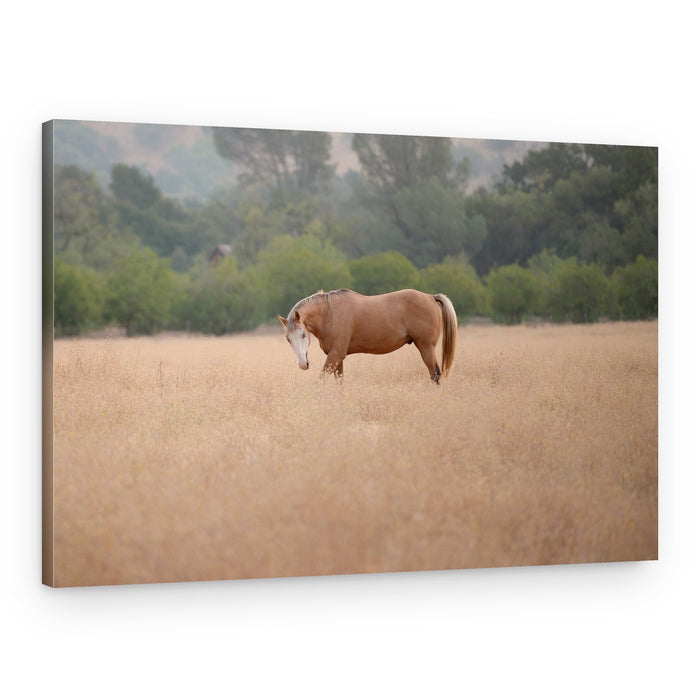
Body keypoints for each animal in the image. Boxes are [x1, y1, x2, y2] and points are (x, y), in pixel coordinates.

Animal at [278, 288, 457, 383]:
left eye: (303, 334)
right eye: (288, 339)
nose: (303, 364)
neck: (330, 314)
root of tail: (430, 297)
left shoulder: (335, 355)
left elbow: (321, 378)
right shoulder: (338, 357)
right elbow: (339, 381)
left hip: (426, 347)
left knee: (435, 374)